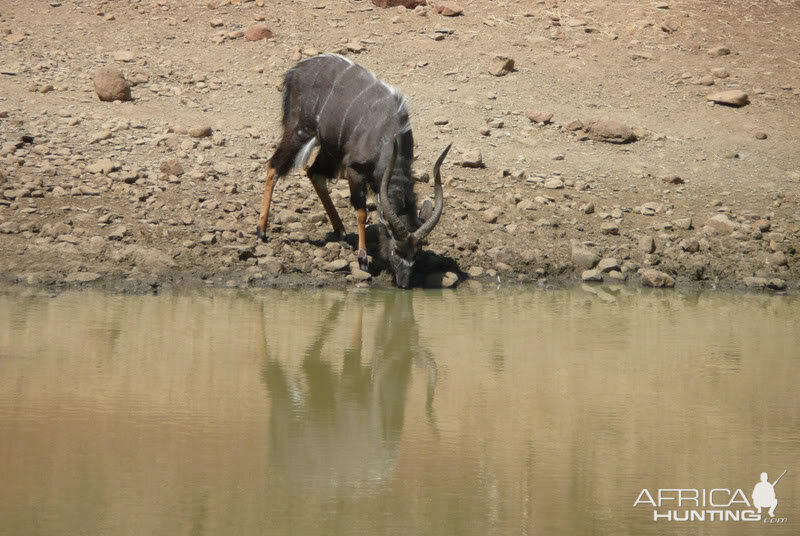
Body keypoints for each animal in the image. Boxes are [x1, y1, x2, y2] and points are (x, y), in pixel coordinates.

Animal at [260, 53, 454, 288]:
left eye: (416, 253)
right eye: (397, 249)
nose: (403, 283)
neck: (387, 134)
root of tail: (295, 71)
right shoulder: (354, 169)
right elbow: (362, 211)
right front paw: (363, 258)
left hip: (329, 149)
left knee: (314, 173)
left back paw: (341, 232)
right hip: (300, 131)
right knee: (273, 167)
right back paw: (261, 231)